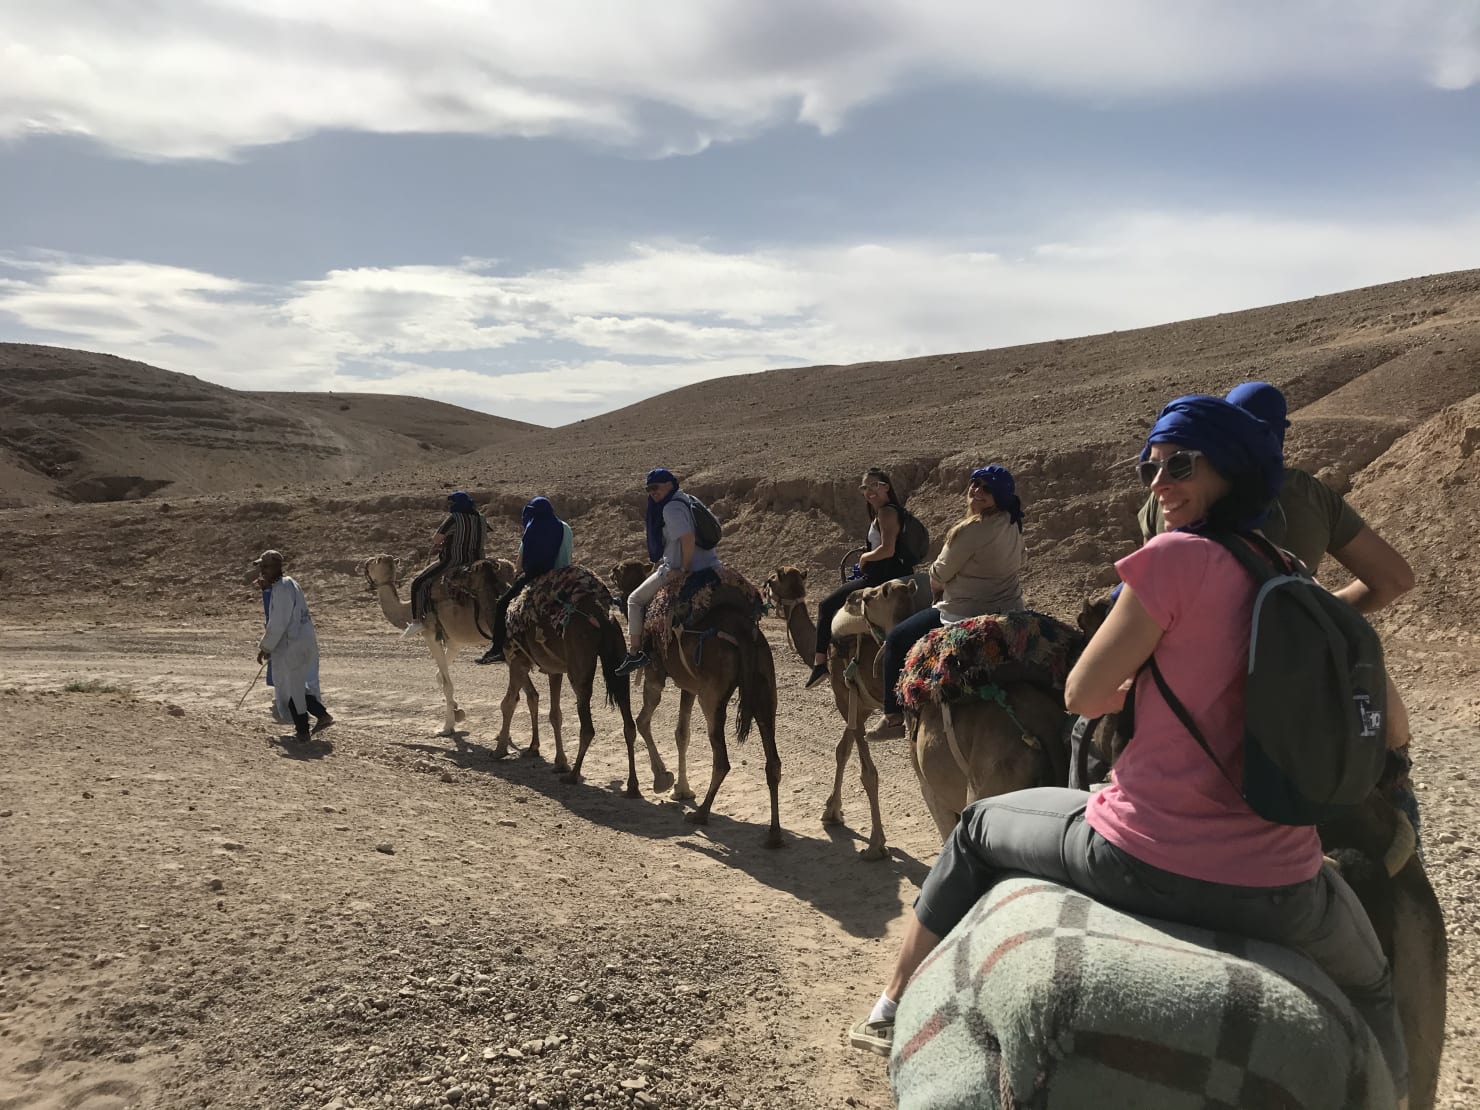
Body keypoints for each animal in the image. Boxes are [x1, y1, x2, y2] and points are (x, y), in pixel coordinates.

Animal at [361, 556, 553, 748]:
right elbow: (439, 675)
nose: (363, 565)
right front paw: (457, 710)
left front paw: (446, 727)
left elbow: (446, 683)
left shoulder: (430, 633)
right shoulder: (454, 643)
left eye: (374, 561)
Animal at [467, 565, 671, 799]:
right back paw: (633, 786)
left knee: (588, 725)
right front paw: (552, 758)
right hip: (619, 659)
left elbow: (510, 702)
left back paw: (573, 775)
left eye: (471, 571)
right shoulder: (553, 670)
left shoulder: (516, 659)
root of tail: (603, 618)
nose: (459, 580)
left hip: (579, 667)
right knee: (628, 722)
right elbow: (551, 711)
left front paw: (500, 750)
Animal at [609, 559, 787, 846]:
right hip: (764, 689)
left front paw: (663, 779)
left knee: (722, 759)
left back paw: (701, 814)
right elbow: (682, 733)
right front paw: (681, 790)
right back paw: (774, 835)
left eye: (622, 569)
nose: (611, 570)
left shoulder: (655, 672)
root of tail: (743, 634)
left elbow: (643, 720)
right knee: (773, 761)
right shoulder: (689, 686)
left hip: (712, 697)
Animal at [763, 565, 923, 858]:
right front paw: (832, 812)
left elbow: (867, 773)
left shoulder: (845, 696)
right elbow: (842, 751)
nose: (761, 589)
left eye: (772, 580)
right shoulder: (856, 704)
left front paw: (875, 845)